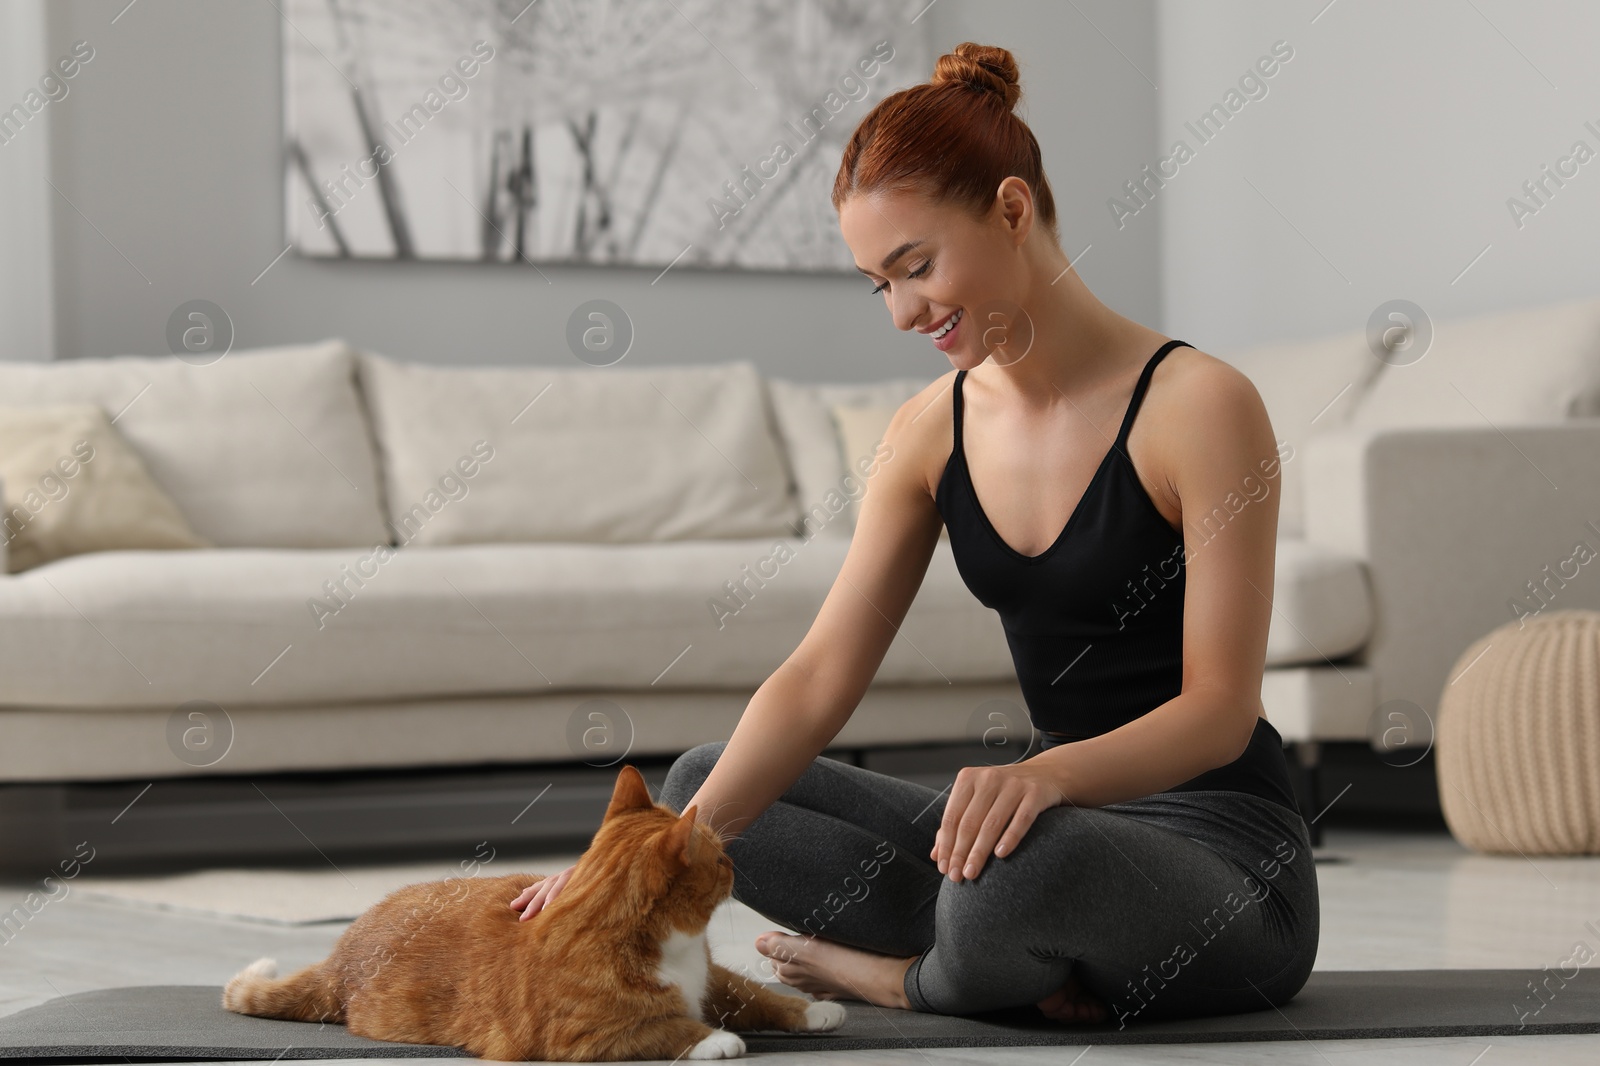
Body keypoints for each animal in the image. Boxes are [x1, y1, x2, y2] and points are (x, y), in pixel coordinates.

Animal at [228, 765, 851, 1056]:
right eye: (719, 858)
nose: (733, 866)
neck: (668, 948)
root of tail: (341, 956)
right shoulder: (582, 1037)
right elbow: (662, 1027)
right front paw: (714, 1040)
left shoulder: (711, 978)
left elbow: (754, 992)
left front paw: (812, 1011)